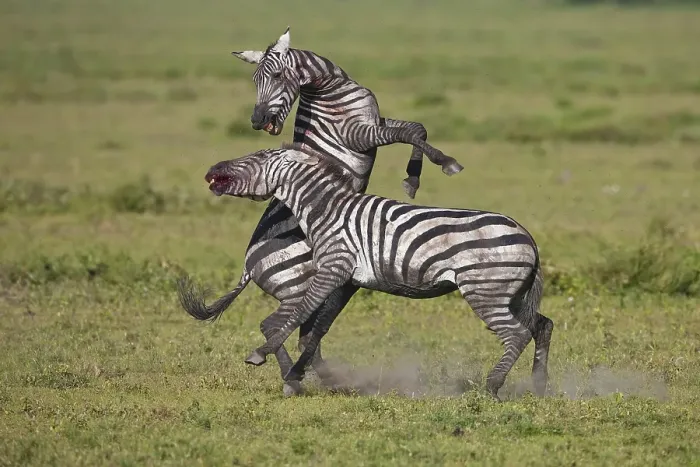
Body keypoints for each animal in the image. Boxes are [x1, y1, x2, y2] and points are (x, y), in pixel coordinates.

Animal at [178, 28, 463, 396]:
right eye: (255, 80)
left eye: (275, 76)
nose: (256, 121)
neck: (331, 89)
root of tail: (249, 265)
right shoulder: (358, 134)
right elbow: (411, 131)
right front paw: (442, 165)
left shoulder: (374, 120)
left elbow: (417, 127)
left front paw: (413, 179)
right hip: (300, 285)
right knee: (279, 324)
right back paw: (298, 379)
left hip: (331, 284)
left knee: (301, 331)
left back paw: (312, 378)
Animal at [189, 143, 553, 400]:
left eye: (259, 156)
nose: (210, 169)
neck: (327, 210)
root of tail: (528, 236)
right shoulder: (340, 278)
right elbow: (310, 329)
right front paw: (296, 375)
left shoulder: (334, 267)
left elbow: (297, 316)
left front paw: (264, 358)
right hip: (511, 294)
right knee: (541, 325)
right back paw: (538, 385)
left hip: (484, 290)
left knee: (517, 333)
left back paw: (492, 386)